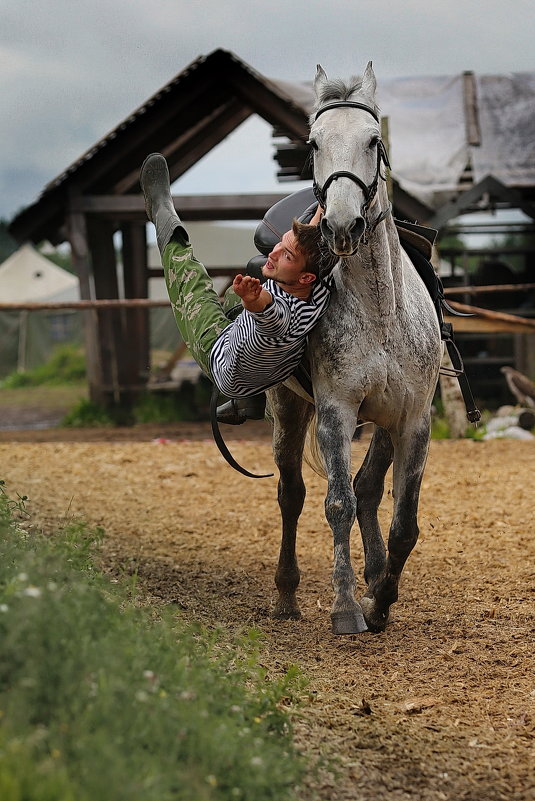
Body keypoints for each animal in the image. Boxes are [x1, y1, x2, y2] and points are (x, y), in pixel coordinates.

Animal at [268, 62, 444, 636]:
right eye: (313, 143)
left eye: (373, 141)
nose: (343, 225)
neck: (381, 312)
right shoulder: (335, 414)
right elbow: (337, 504)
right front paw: (347, 608)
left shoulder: (413, 421)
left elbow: (405, 523)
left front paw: (380, 600)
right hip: (288, 408)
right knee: (293, 495)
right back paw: (288, 593)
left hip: (384, 422)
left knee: (368, 488)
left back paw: (373, 576)